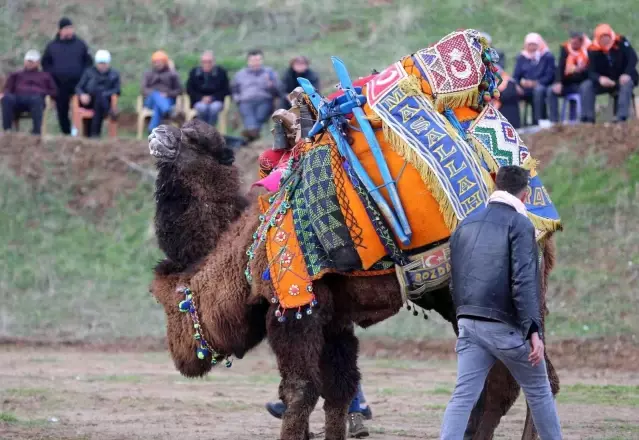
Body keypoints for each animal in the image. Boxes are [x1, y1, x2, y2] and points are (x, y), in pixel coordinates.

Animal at [150, 119, 560, 440]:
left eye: (192, 137)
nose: (158, 133)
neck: (249, 246)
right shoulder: (334, 322)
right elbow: (338, 389)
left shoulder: (296, 308)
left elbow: (300, 391)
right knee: (525, 380)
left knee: (515, 382)